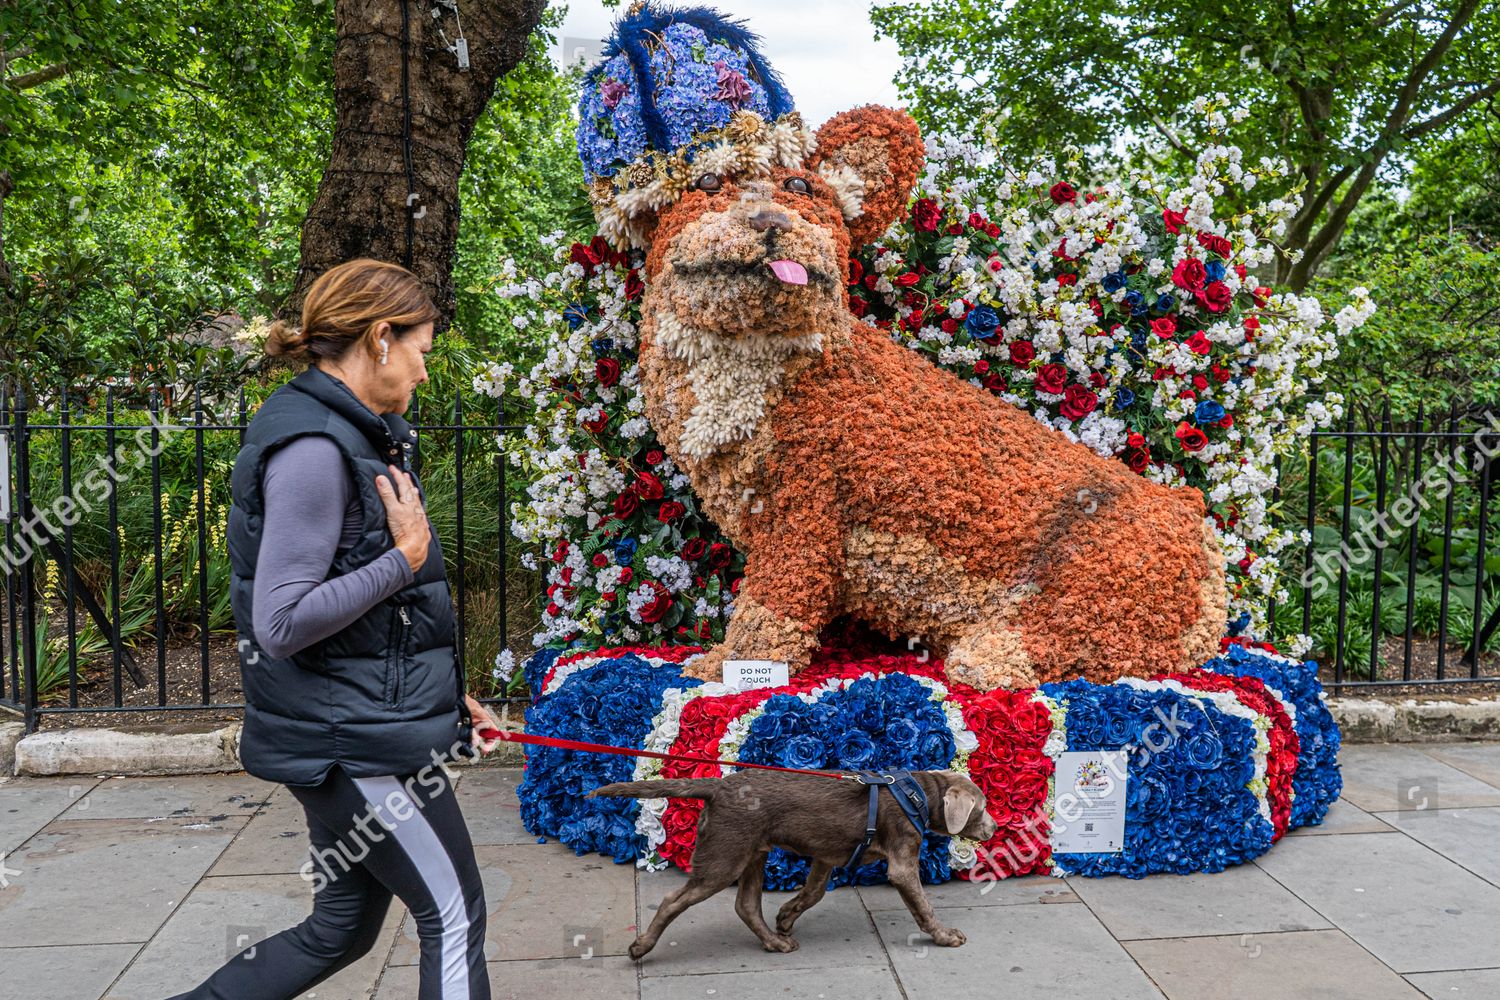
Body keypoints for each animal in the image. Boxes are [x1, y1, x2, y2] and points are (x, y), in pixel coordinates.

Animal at [585, 773, 996, 959]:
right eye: (982, 807)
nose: (993, 829)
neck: (918, 794)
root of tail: (716, 787)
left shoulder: (826, 856)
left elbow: (812, 893)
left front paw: (785, 916)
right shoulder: (902, 861)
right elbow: (923, 907)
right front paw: (945, 936)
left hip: (753, 852)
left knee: (746, 905)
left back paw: (774, 940)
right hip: (724, 858)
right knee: (673, 900)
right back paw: (641, 946)